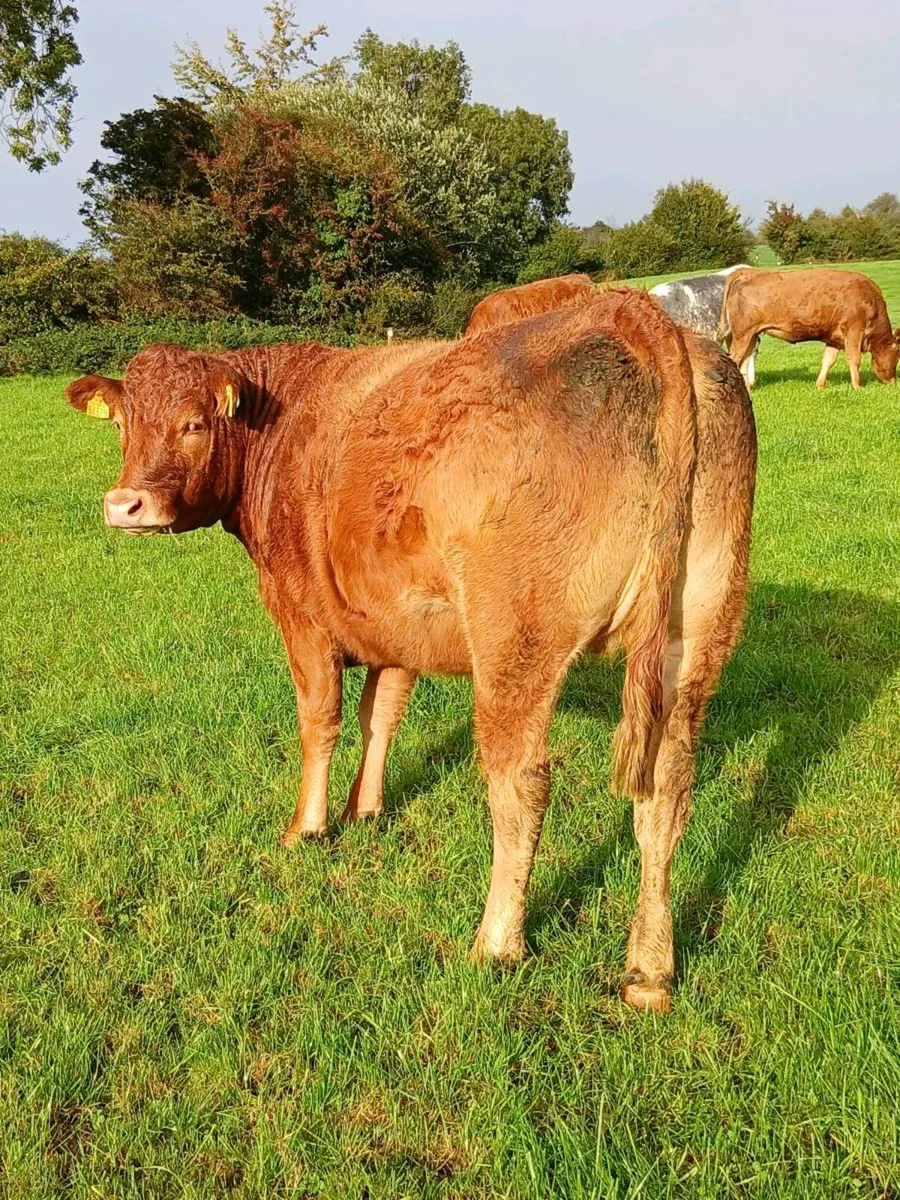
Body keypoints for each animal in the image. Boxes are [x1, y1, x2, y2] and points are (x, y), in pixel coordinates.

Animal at [66, 288, 756, 1013]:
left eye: (194, 423)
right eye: (122, 425)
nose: (126, 504)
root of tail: (632, 316)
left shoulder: (301, 617)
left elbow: (321, 722)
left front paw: (308, 827)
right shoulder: (393, 623)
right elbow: (383, 714)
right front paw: (364, 810)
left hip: (518, 639)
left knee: (522, 784)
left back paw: (496, 944)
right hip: (697, 629)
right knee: (667, 785)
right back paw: (650, 971)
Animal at [720, 267, 900, 389]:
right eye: (898, 355)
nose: (893, 381)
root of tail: (746, 272)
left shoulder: (834, 338)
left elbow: (828, 360)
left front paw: (820, 384)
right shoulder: (854, 330)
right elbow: (854, 359)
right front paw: (857, 386)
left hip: (751, 335)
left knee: (743, 362)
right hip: (743, 334)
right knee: (734, 359)